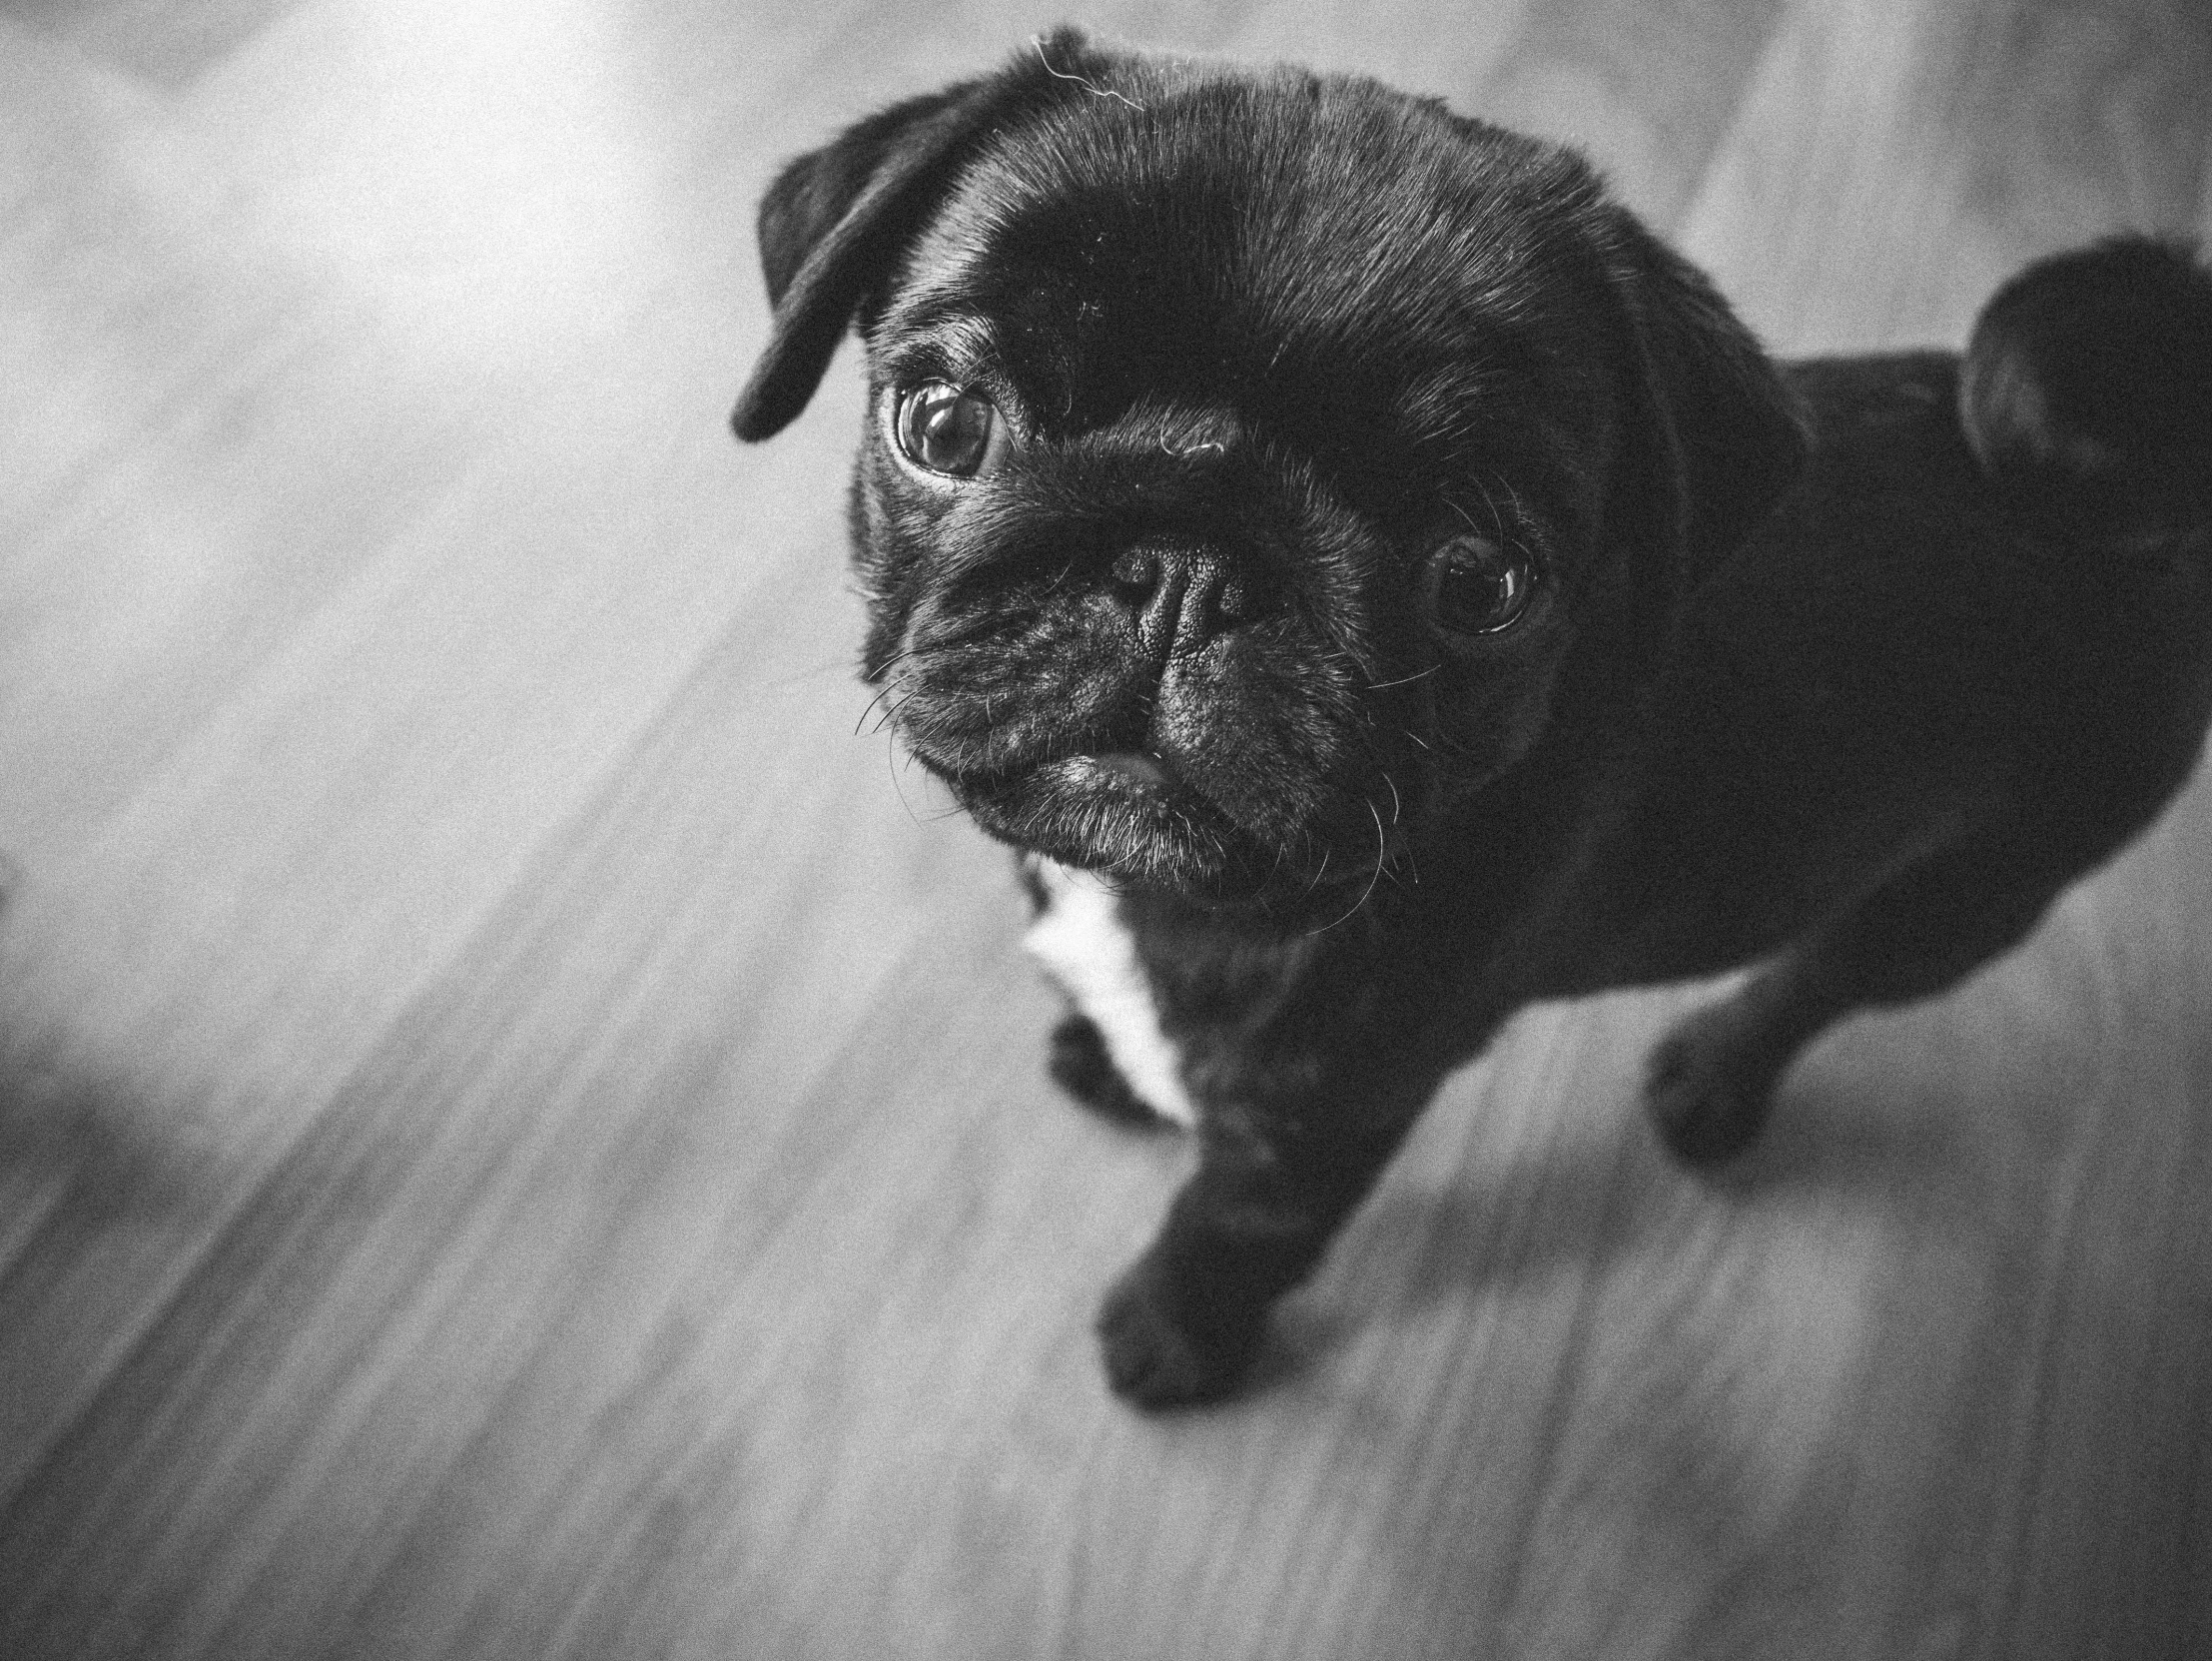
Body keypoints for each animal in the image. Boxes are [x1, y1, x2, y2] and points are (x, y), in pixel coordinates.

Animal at [729, 29, 2212, 1406]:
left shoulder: (1324, 1116)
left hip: (1974, 886)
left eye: (1482, 581)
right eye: (942, 423)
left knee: (1824, 976)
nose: (1185, 569)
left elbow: (1231, 1231)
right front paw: (1114, 1056)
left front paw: (1171, 1334)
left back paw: (1714, 1074)